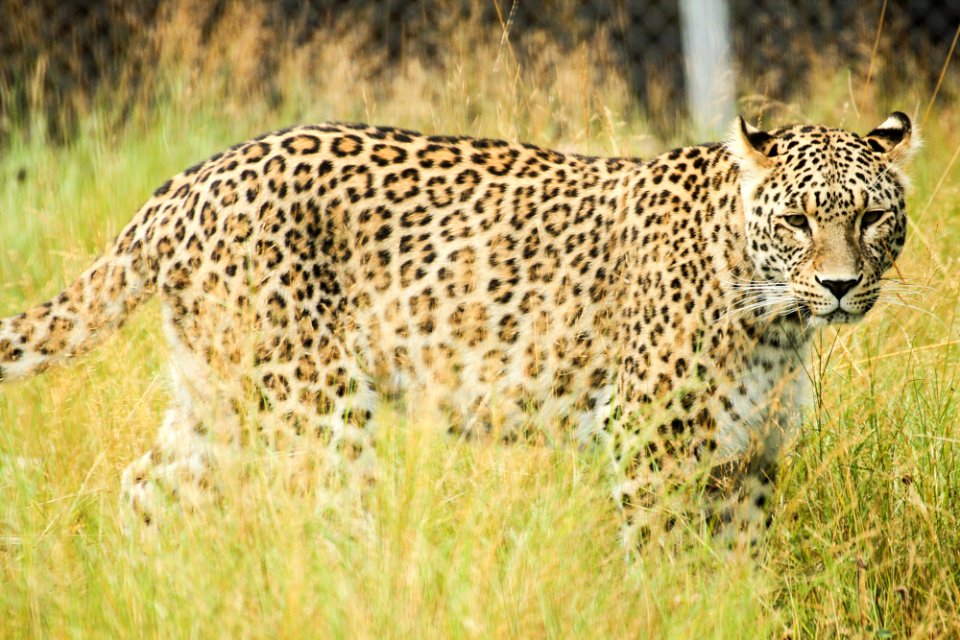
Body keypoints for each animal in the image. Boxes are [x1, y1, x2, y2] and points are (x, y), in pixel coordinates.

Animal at [0, 111, 916, 544]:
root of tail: (188, 182)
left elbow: (738, 572)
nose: (838, 286)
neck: (778, 324)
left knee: (146, 484)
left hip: (222, 393)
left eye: (872, 218)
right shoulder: (650, 443)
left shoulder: (749, 461)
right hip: (316, 405)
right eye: (798, 221)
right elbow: (665, 559)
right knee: (323, 516)